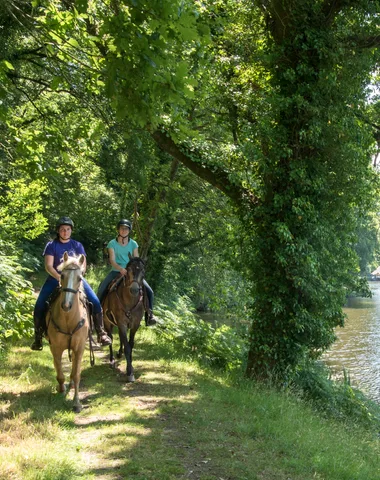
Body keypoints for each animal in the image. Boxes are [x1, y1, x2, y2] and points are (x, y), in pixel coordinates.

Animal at [45, 251, 89, 412]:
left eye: (80, 278)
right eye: (62, 275)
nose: (66, 305)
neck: (68, 319)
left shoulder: (79, 348)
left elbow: (76, 375)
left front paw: (76, 403)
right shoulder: (55, 348)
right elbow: (59, 372)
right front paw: (61, 390)